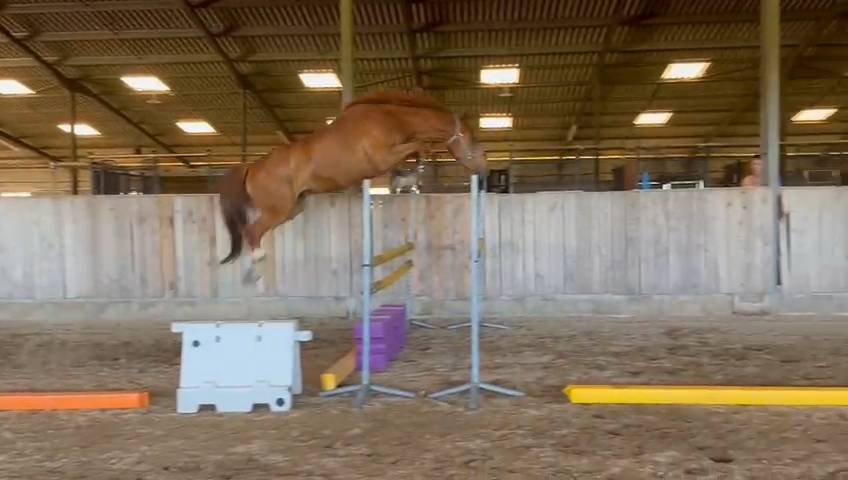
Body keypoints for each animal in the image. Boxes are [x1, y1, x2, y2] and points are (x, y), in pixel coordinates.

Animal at [216, 90, 489, 283]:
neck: (389, 118)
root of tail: (252, 166)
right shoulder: (383, 158)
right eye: (472, 138)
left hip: (294, 208)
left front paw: (412, 175)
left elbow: (414, 150)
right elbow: (418, 146)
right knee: (252, 232)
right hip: (278, 210)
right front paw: (416, 171)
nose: (483, 169)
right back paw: (254, 270)